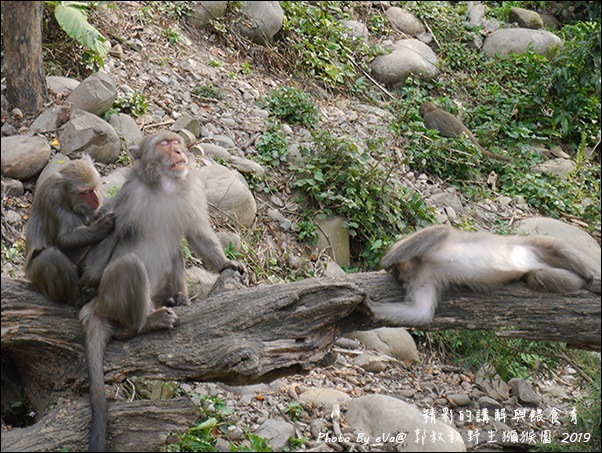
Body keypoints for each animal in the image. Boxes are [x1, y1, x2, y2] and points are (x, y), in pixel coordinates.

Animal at [23, 155, 115, 308]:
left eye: (95, 188)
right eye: (85, 192)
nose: (97, 200)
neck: (66, 197)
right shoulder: (52, 198)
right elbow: (64, 239)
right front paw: (101, 226)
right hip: (35, 275)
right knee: (50, 256)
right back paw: (78, 299)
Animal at [79, 132, 244, 452]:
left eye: (175, 141)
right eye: (164, 144)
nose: (179, 151)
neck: (165, 187)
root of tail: (99, 305)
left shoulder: (190, 193)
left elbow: (196, 234)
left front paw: (225, 263)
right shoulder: (128, 198)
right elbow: (107, 236)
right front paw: (87, 278)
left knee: (175, 253)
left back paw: (179, 300)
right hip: (115, 298)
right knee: (130, 267)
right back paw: (145, 323)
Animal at [372, 225, 596, 324]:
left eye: (399, 271)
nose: (399, 275)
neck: (422, 263)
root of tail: (533, 259)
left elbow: (440, 230)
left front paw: (387, 260)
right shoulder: (425, 278)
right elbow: (420, 313)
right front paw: (370, 308)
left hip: (534, 245)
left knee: (558, 249)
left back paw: (593, 279)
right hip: (538, 265)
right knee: (539, 277)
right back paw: (581, 283)